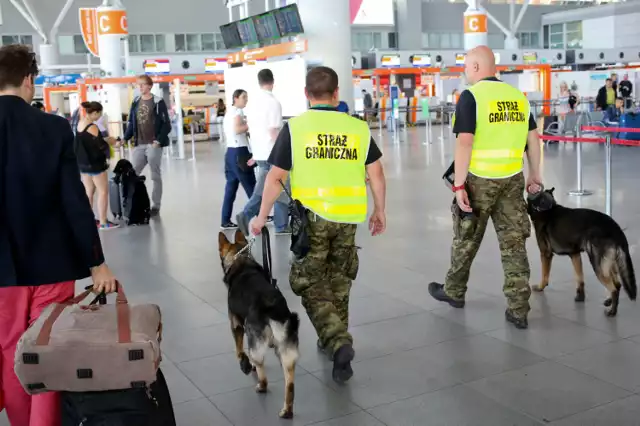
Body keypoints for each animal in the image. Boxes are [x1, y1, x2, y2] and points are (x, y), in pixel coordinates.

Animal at [218, 231, 300, 418]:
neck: (240, 259)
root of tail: (273, 307)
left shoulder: (236, 325)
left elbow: (239, 351)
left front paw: (246, 365)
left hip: (253, 336)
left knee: (260, 366)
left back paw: (261, 385)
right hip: (287, 350)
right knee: (290, 384)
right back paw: (287, 410)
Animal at [528, 187, 636, 316]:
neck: (547, 208)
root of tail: (617, 230)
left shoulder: (546, 254)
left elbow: (544, 275)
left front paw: (540, 287)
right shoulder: (575, 255)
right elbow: (580, 278)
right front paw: (580, 296)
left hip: (598, 266)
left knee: (613, 288)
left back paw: (612, 311)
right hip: (609, 263)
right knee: (617, 284)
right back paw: (609, 301)